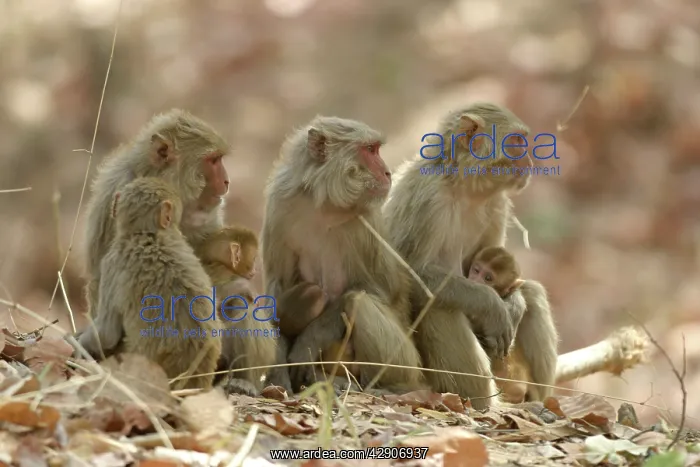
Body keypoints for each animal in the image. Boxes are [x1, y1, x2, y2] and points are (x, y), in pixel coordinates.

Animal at [261, 115, 426, 394]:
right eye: (370, 150)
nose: (387, 172)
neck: (324, 203)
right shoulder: (280, 204)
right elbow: (278, 286)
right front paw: (278, 366)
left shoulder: (365, 222)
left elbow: (378, 289)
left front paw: (308, 341)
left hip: (407, 362)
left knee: (359, 302)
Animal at [383, 102, 558, 409]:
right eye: (516, 142)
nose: (530, 163)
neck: (464, 187)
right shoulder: (427, 199)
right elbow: (409, 274)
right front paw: (491, 305)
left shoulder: (497, 204)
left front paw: (513, 303)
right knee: (439, 305)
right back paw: (484, 403)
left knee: (534, 294)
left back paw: (537, 400)